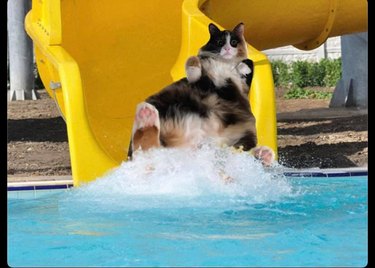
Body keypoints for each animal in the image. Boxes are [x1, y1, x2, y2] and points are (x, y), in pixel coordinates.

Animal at [129, 22, 276, 165]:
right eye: (220, 42)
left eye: (233, 42)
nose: (227, 49)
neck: (223, 64)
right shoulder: (204, 79)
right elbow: (192, 59)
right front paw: (194, 72)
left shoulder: (243, 86)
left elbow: (248, 63)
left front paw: (242, 67)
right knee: (145, 150)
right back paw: (146, 117)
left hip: (241, 139)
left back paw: (264, 154)